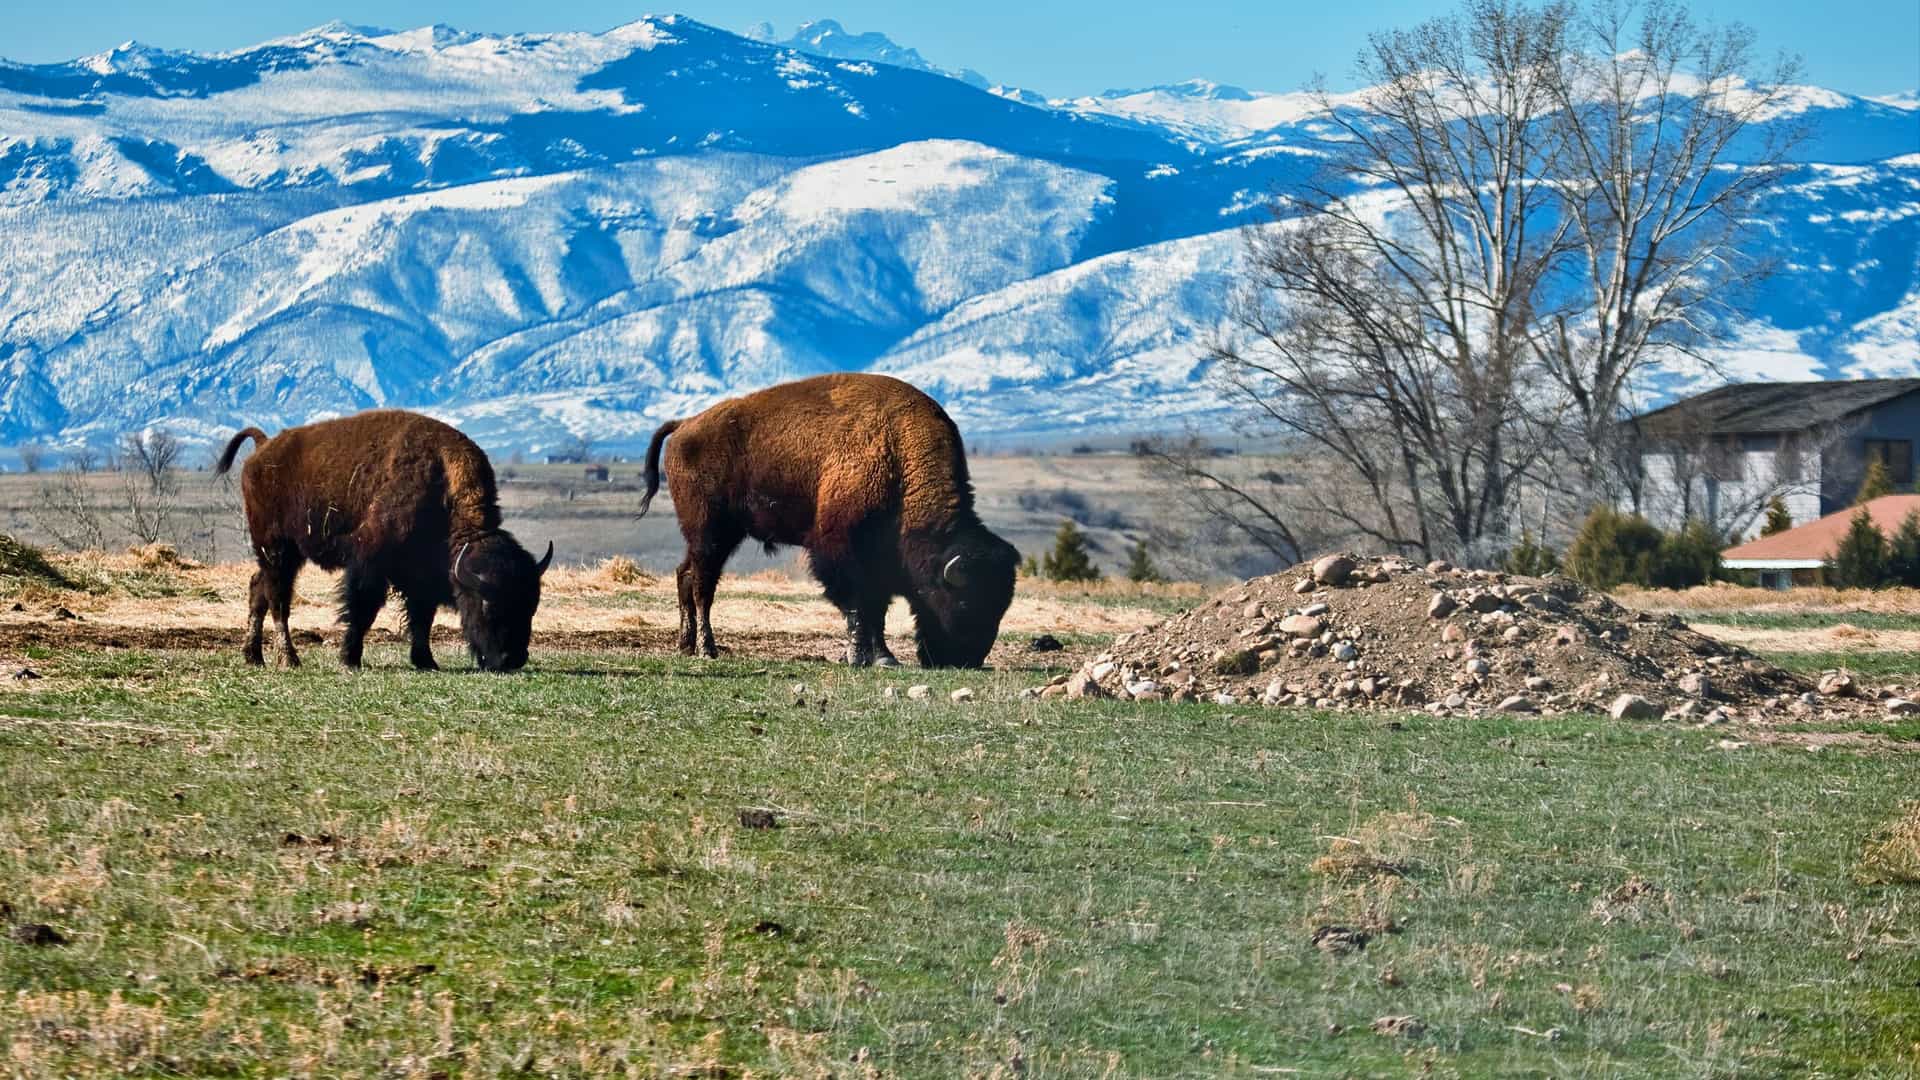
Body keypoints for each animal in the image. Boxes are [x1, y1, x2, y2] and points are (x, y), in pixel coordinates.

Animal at [215, 410, 552, 672]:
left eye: (531, 606)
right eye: (489, 606)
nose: (512, 659)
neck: (443, 484)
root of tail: (264, 447)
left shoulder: (422, 577)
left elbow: (422, 617)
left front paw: (426, 661)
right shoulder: (369, 564)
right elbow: (363, 610)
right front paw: (350, 660)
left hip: (281, 554)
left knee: (258, 589)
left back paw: (254, 657)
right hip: (278, 549)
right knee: (278, 600)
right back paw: (289, 660)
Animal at [639, 373, 1019, 668]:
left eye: (1001, 606)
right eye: (965, 600)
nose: (966, 659)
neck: (899, 457)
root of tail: (685, 425)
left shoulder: (879, 564)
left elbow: (877, 610)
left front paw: (883, 657)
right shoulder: (839, 551)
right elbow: (858, 607)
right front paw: (859, 657)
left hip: (713, 536)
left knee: (685, 575)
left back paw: (686, 646)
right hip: (710, 532)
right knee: (703, 585)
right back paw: (707, 649)